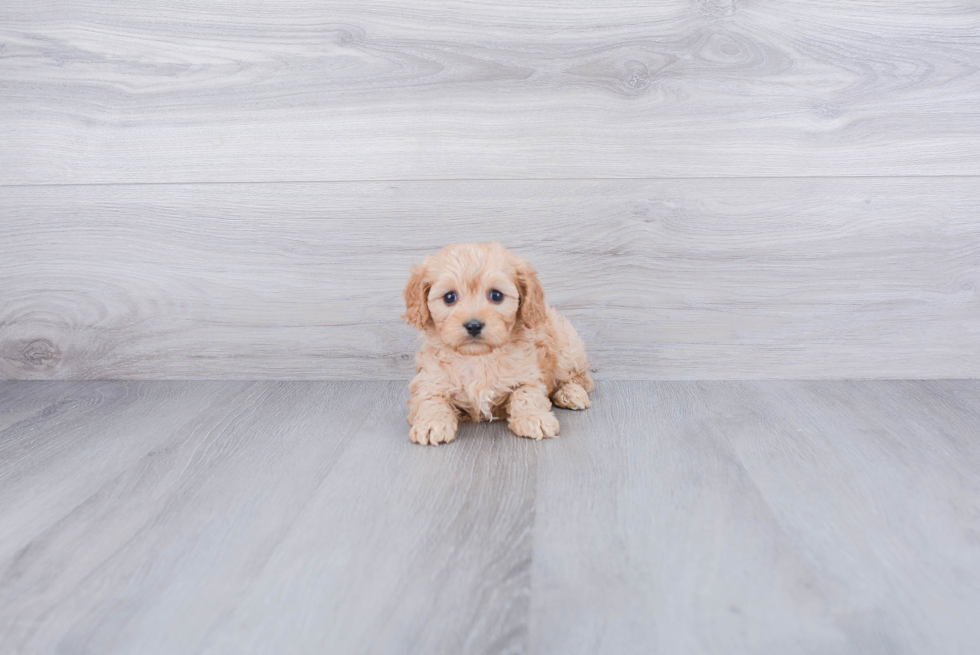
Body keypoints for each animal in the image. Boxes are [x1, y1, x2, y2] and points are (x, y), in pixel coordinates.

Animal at [402, 242, 592, 446]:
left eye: (496, 295)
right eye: (449, 297)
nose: (474, 325)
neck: (478, 358)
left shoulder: (530, 375)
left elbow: (526, 395)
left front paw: (534, 418)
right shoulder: (429, 381)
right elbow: (430, 401)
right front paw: (431, 424)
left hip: (567, 348)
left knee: (581, 378)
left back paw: (571, 393)